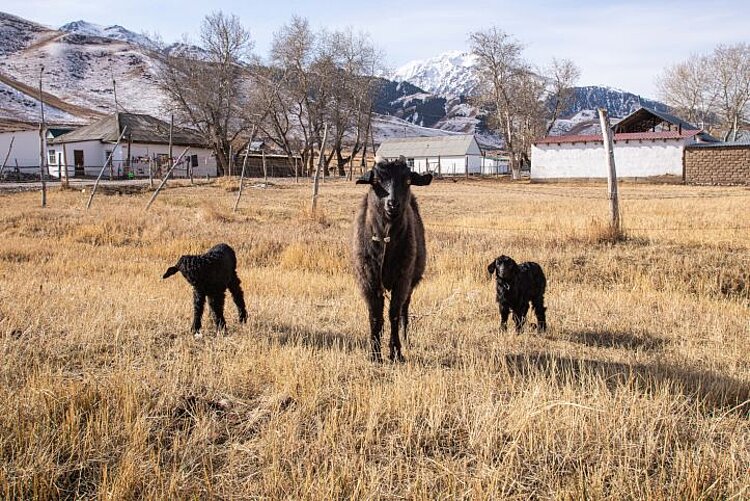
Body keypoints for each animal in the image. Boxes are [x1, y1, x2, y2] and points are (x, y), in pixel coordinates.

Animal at [352, 158, 432, 362]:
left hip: (410, 281)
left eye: (408, 181)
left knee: (404, 309)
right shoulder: (369, 281)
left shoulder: (402, 280)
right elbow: (375, 316)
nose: (392, 204)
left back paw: (406, 338)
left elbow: (394, 314)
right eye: (376, 181)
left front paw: (396, 351)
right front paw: (374, 353)